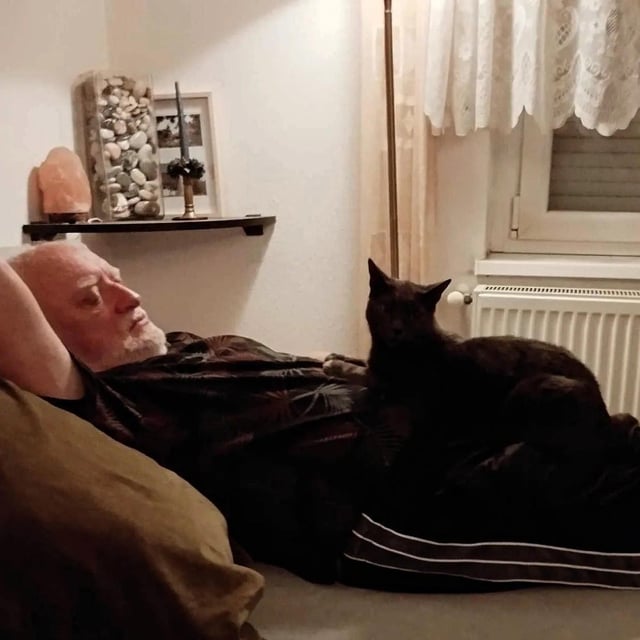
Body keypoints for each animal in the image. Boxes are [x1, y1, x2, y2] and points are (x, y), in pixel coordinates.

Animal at [365, 258, 632, 460]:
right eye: (386, 308)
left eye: (413, 314)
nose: (397, 329)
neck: (394, 359)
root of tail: (606, 416)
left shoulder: (424, 417)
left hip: (527, 391)